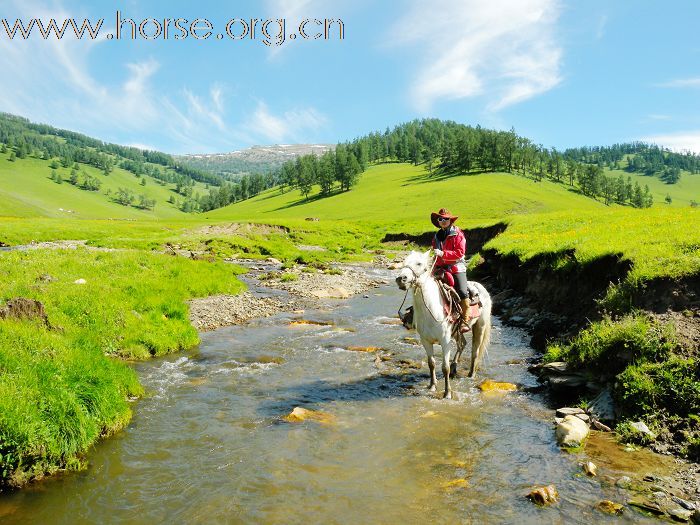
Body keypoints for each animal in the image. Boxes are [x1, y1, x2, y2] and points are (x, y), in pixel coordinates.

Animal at [394, 250, 492, 398]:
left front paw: (447, 393)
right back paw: (455, 368)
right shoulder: (426, 341)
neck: (430, 309)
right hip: (457, 331)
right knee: (462, 344)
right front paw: (432, 386)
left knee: (475, 351)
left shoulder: (445, 341)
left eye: (419, 263)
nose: (401, 279)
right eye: (404, 262)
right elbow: (431, 363)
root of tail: (481, 288)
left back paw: (470, 374)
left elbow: (444, 367)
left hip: (480, 326)